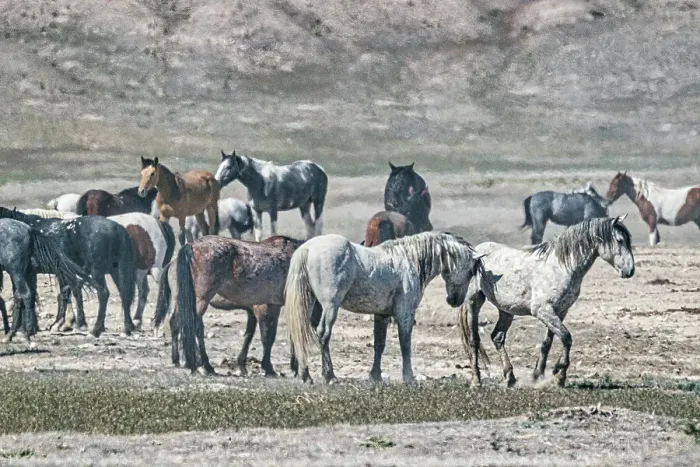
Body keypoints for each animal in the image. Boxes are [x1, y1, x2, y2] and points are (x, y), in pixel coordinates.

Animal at [0, 207, 137, 337]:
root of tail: (118, 228)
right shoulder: (30, 273)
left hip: (97, 271)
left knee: (103, 293)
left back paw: (95, 330)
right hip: (116, 270)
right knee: (124, 294)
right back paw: (126, 328)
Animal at [153, 235, 319, 376]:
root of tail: (188, 249)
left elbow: (250, 335)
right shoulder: (267, 306)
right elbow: (268, 337)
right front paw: (269, 368)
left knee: (178, 324)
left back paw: (183, 361)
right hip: (199, 301)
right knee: (189, 325)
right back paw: (198, 364)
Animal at [284, 231, 484, 384]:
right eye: (470, 271)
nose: (455, 301)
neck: (409, 260)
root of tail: (307, 248)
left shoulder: (381, 315)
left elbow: (379, 344)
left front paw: (375, 376)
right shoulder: (405, 314)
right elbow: (405, 344)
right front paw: (408, 377)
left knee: (301, 333)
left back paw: (306, 375)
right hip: (330, 306)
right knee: (323, 334)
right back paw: (330, 376)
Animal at [459, 216, 634, 389]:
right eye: (620, 240)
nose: (630, 271)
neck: (561, 267)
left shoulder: (560, 311)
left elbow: (548, 343)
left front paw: (539, 375)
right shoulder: (543, 311)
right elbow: (566, 337)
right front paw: (559, 372)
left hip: (506, 310)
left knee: (497, 337)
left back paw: (510, 378)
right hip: (474, 302)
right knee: (474, 340)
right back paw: (476, 382)